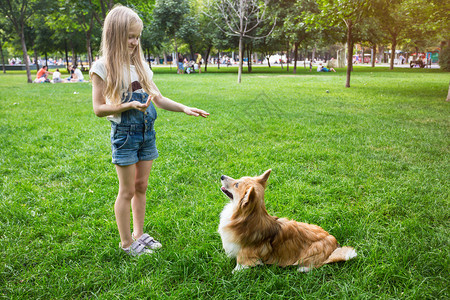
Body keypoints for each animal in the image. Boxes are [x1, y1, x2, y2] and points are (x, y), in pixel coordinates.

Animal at [220, 170, 356, 274]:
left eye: (237, 184)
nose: (221, 176)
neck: (245, 217)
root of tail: (335, 245)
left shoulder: (246, 254)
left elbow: (240, 264)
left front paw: (234, 273)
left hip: (312, 250)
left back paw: (303, 269)